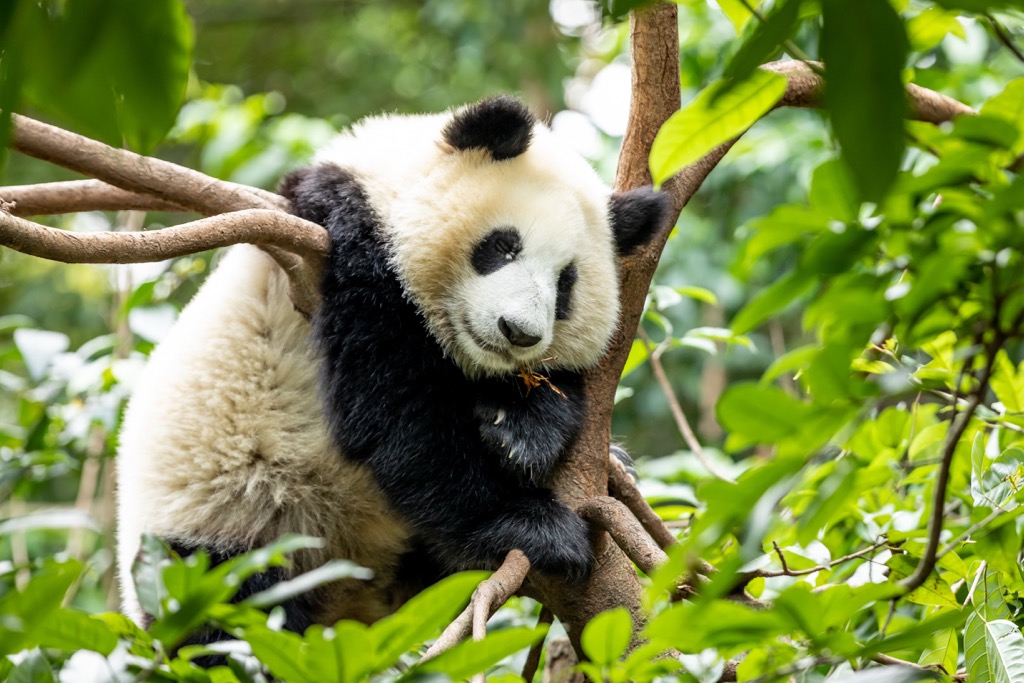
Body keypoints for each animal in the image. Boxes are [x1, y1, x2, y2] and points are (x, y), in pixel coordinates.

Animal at [116, 95, 666, 642]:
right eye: (504, 246)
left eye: (566, 283)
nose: (519, 332)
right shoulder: (341, 242)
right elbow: (394, 413)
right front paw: (537, 526)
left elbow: (555, 387)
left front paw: (521, 431)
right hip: (224, 533)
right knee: (227, 622)